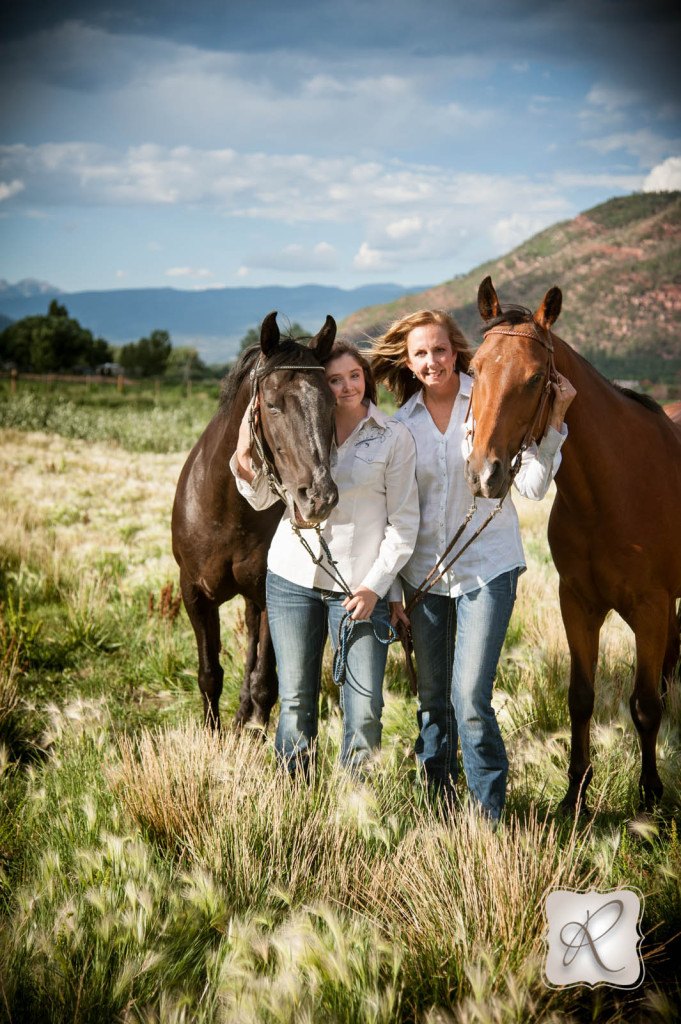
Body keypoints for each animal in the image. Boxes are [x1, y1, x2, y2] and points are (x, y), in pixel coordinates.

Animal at [173, 311, 337, 729]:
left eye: (332, 401)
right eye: (273, 405)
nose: (319, 497)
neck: (228, 512)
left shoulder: (270, 595)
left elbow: (265, 679)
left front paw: (255, 729)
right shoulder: (194, 594)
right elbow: (209, 674)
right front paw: (211, 734)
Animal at [464, 276, 679, 811]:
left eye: (536, 378)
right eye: (473, 369)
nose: (483, 475)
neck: (612, 492)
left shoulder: (649, 608)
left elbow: (645, 705)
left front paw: (649, 798)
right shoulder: (577, 604)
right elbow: (580, 698)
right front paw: (575, 792)